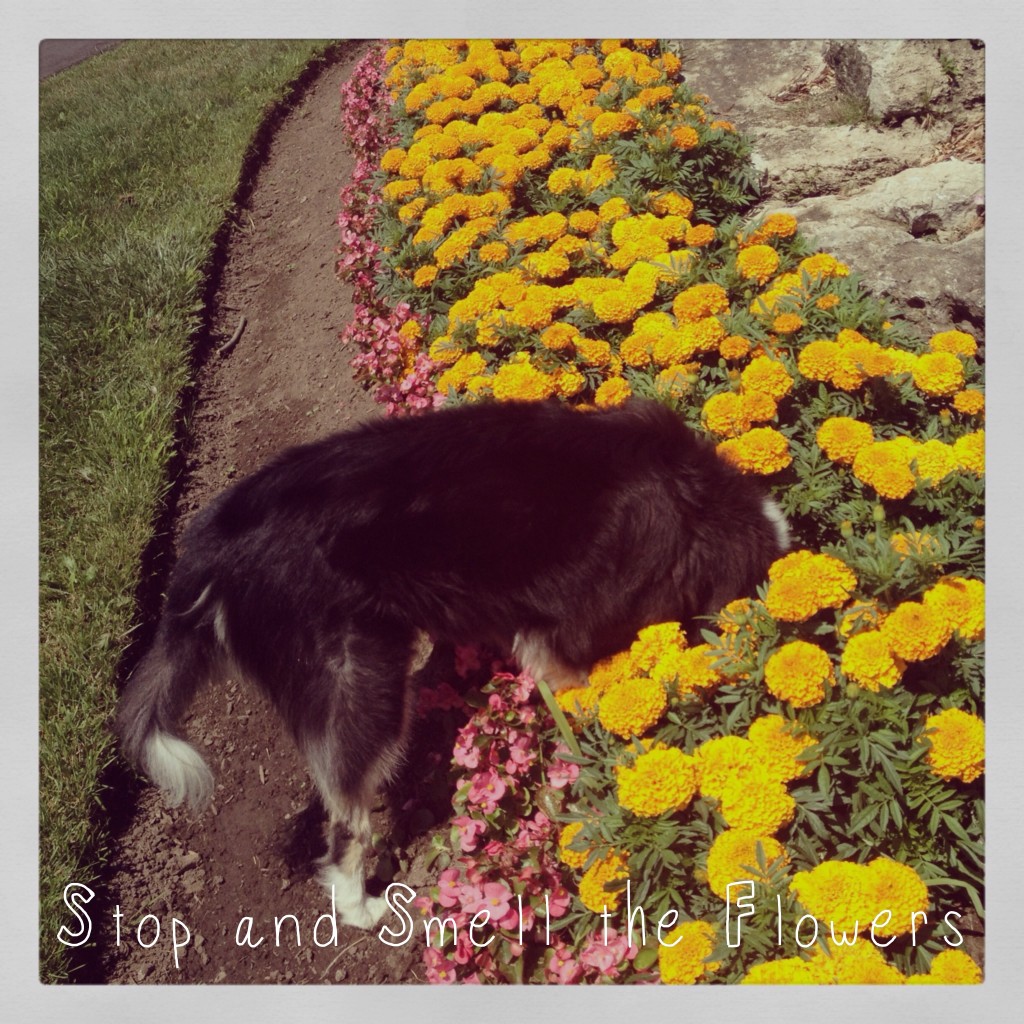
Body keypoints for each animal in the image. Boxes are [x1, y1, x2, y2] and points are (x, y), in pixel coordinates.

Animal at [116, 399, 786, 929]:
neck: (698, 503)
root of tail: (209, 550)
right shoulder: (566, 633)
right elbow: (583, 693)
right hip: (363, 685)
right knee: (344, 823)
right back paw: (361, 907)